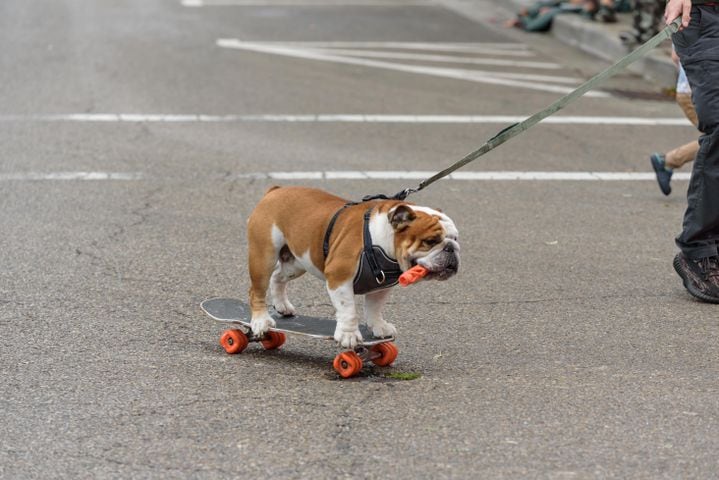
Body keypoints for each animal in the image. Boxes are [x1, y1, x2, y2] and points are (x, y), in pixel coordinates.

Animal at [248, 186, 462, 346]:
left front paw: (379, 327)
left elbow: (375, 307)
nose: (451, 248)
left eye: (455, 238)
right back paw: (261, 321)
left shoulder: (381, 286)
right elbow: (348, 310)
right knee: (257, 290)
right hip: (264, 256)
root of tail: (275, 190)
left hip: (297, 262)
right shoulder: (340, 278)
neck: (380, 238)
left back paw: (282, 306)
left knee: (278, 276)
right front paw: (348, 335)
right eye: (431, 241)